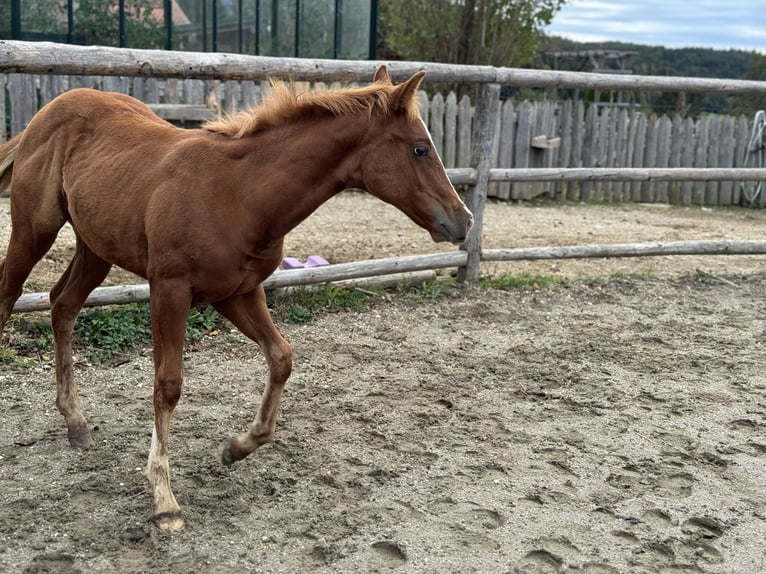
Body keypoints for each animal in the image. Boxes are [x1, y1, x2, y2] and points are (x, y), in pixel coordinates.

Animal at [0, 66, 474, 532]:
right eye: (419, 149)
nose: (464, 220)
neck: (240, 193)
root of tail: (47, 112)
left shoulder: (237, 292)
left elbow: (281, 357)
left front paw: (237, 447)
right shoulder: (169, 289)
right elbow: (168, 385)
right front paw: (164, 499)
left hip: (95, 247)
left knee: (62, 304)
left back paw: (76, 422)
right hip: (34, 231)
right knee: (10, 297)